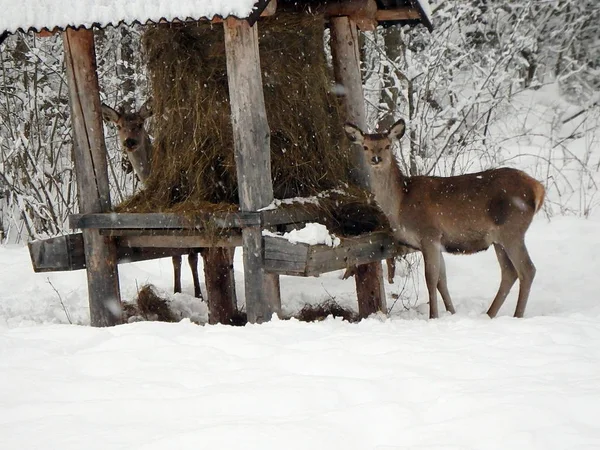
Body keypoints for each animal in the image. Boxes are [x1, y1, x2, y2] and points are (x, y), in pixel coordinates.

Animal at [101, 100, 204, 300]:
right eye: (119, 126)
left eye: (140, 124)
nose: (129, 142)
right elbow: (175, 256)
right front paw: (177, 291)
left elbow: (192, 256)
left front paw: (198, 295)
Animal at [342, 118, 544, 318]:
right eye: (366, 147)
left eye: (387, 145)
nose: (376, 159)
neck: (400, 204)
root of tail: (537, 188)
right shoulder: (439, 241)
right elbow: (442, 280)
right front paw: (451, 313)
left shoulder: (429, 233)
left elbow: (430, 279)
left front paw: (433, 316)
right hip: (498, 238)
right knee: (509, 272)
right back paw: (489, 314)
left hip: (512, 229)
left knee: (527, 269)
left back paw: (517, 315)